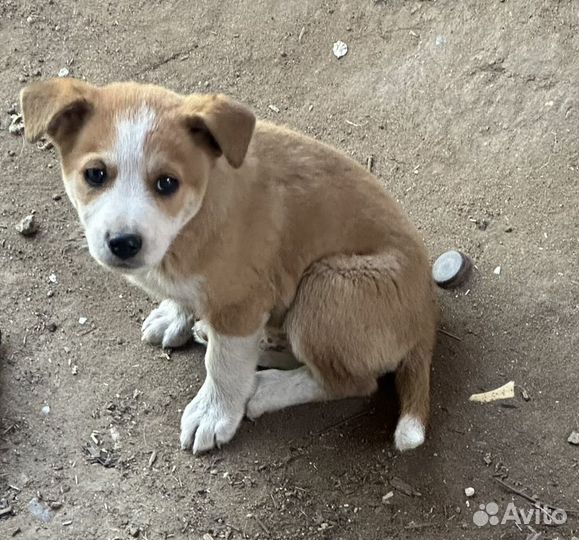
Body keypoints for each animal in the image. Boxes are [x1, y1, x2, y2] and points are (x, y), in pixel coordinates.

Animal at [21, 78, 440, 454]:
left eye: (167, 183)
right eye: (95, 174)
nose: (123, 243)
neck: (194, 217)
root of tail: (427, 323)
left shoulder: (239, 304)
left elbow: (222, 366)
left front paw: (213, 414)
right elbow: (189, 306)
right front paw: (175, 317)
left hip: (328, 285)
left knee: (353, 382)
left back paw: (267, 387)